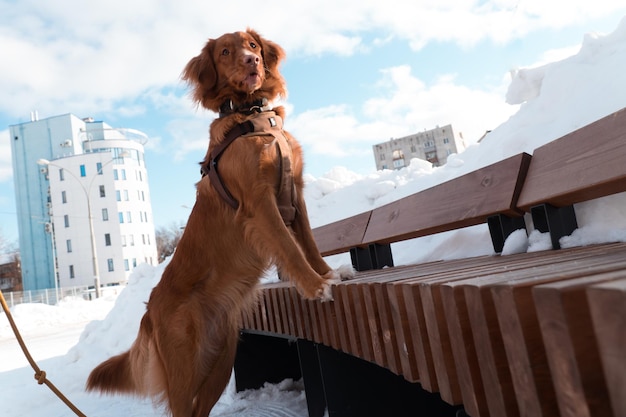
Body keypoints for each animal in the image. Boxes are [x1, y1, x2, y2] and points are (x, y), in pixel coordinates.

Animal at [86, 27, 352, 414]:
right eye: (225, 52)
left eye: (253, 46)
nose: (252, 60)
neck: (253, 114)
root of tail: (148, 313)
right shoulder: (259, 203)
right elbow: (290, 248)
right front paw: (317, 288)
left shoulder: (296, 194)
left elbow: (309, 244)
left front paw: (329, 274)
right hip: (184, 372)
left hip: (221, 359)